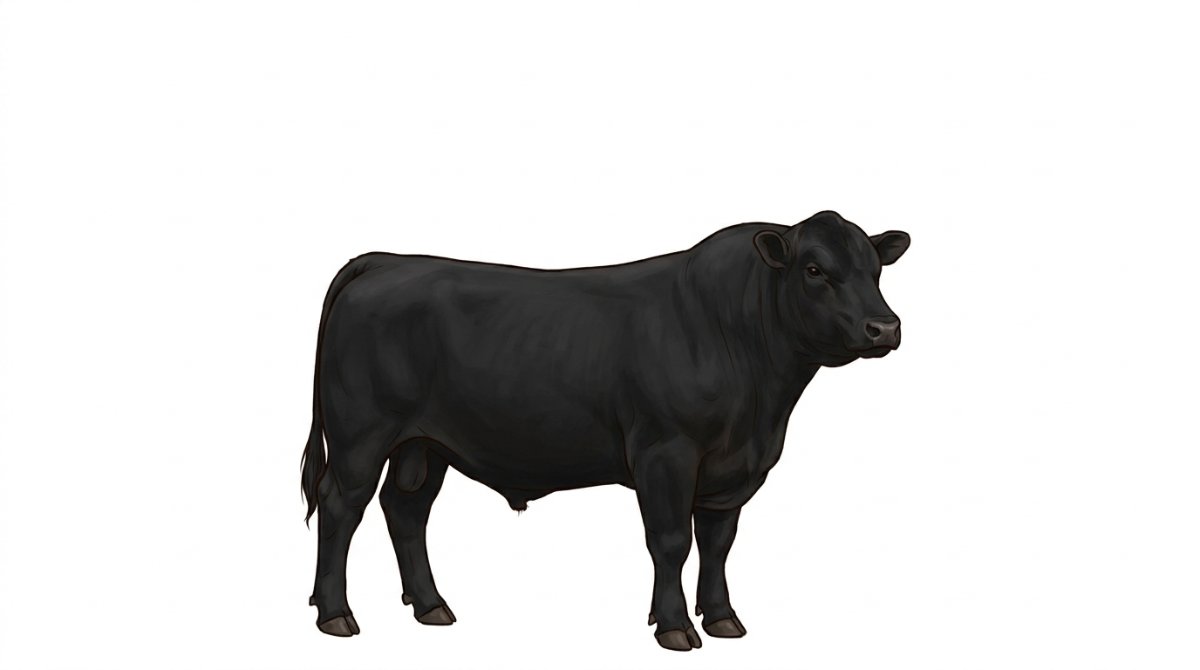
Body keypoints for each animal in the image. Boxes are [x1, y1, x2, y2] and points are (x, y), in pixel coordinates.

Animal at [301, 210, 910, 651]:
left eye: (875, 270)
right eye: (814, 270)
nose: (884, 327)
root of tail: (386, 261)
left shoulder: (735, 466)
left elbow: (718, 543)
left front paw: (722, 619)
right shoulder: (666, 453)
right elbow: (671, 541)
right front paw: (675, 627)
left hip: (424, 446)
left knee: (406, 511)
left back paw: (432, 606)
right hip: (361, 436)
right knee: (341, 506)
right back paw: (336, 615)